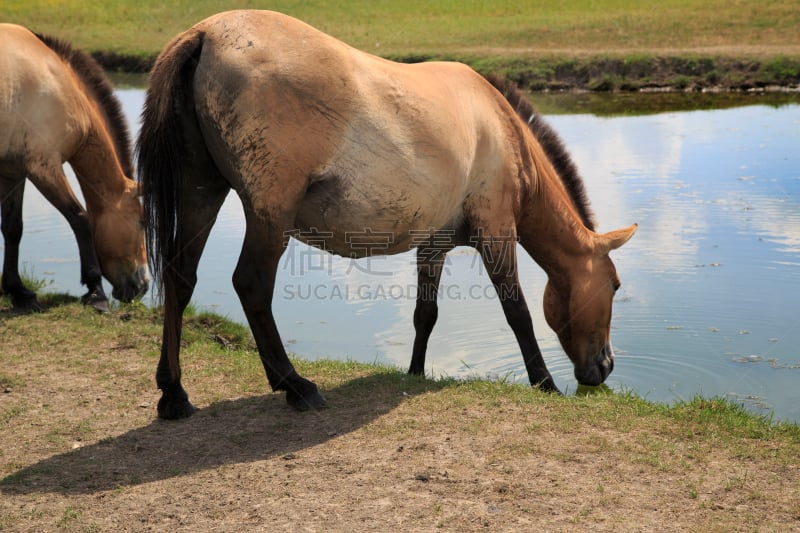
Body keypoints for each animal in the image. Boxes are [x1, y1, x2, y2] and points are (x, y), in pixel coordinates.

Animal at [0, 25, 147, 310]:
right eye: (142, 222)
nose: (143, 285)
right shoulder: (44, 168)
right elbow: (81, 219)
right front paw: (95, 290)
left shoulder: (13, 172)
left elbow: (13, 228)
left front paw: (18, 291)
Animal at [139, 8, 636, 416]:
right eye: (614, 285)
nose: (606, 366)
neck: (500, 128)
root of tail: (206, 33)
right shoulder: (496, 231)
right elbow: (517, 311)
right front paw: (545, 383)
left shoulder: (434, 244)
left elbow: (425, 315)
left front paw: (414, 373)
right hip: (269, 215)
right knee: (252, 284)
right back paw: (296, 386)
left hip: (201, 190)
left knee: (181, 277)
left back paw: (175, 394)